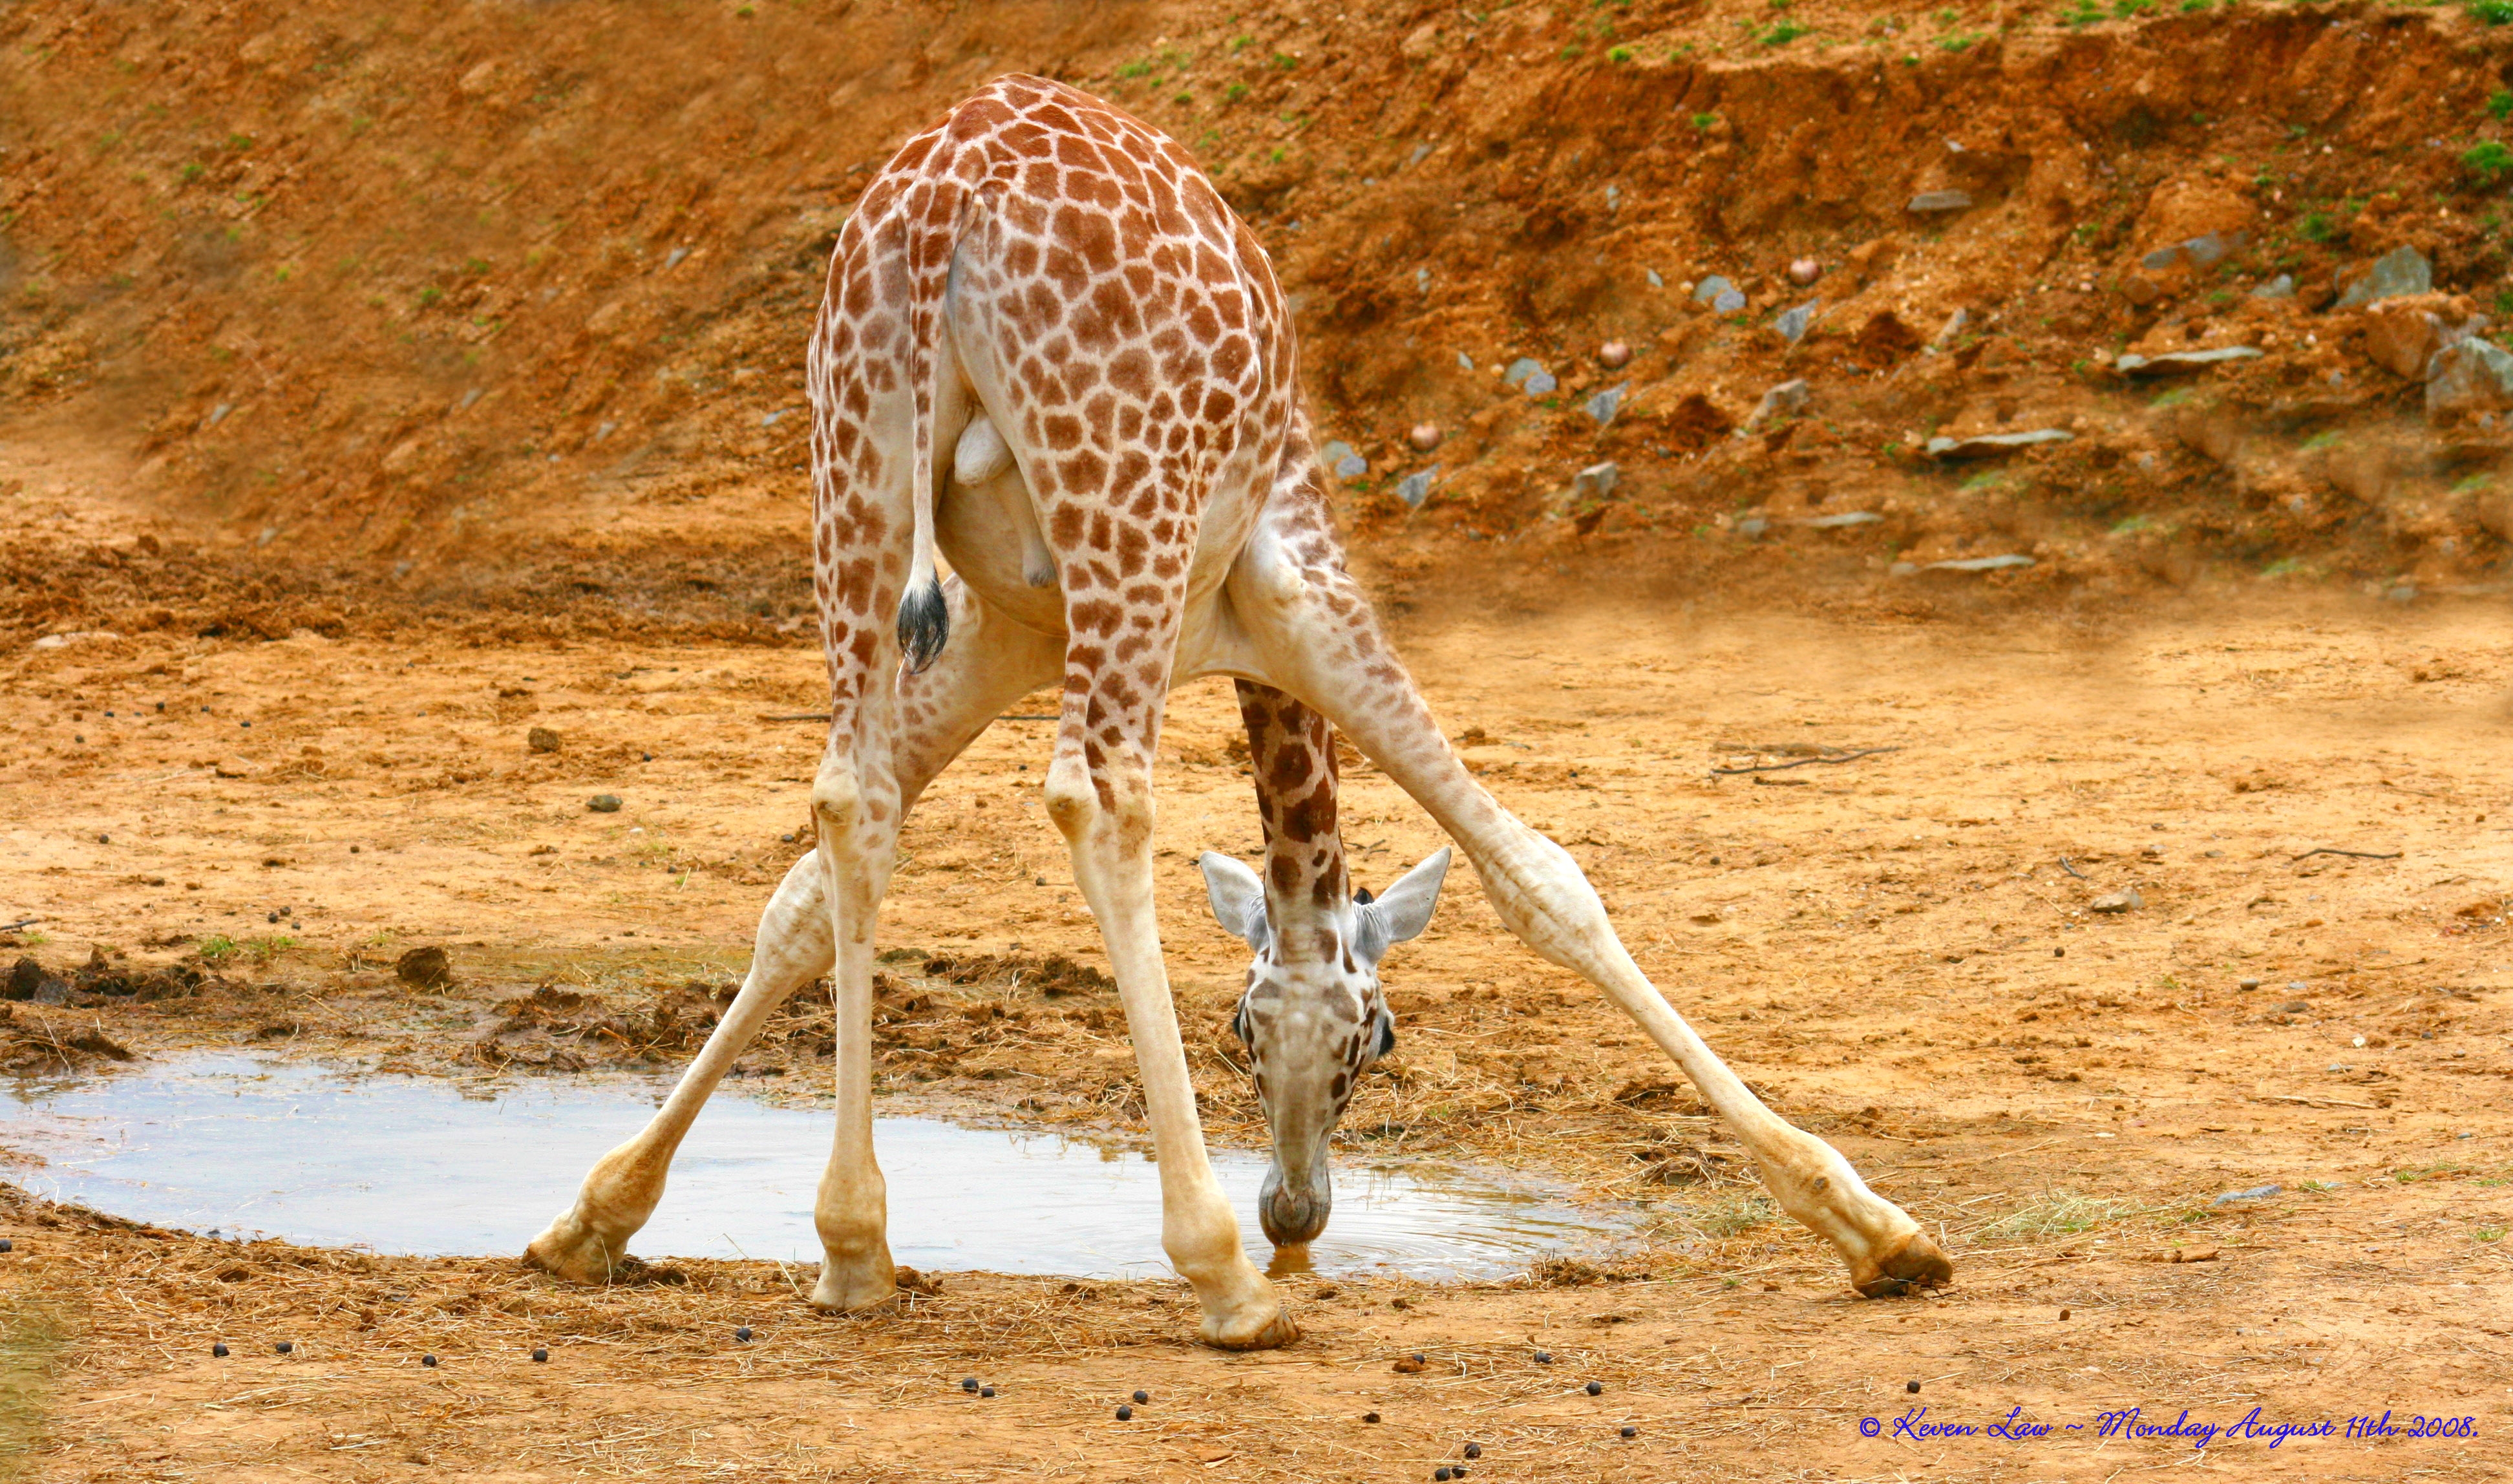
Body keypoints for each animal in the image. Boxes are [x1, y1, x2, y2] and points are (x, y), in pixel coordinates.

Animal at [520, 75, 1950, 1355]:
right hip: (1122, 520)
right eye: (1272, 1033)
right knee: (1098, 798)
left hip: (857, 486)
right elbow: (1541, 877)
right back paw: (1219, 1279)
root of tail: (938, 210)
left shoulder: (1000, 630)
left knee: (848, 798)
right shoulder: (1292, 595)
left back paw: (858, 1248)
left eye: (1349, 1040)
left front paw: (598, 1216)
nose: (1294, 1213)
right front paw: (1876, 1229)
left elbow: (804, 901)